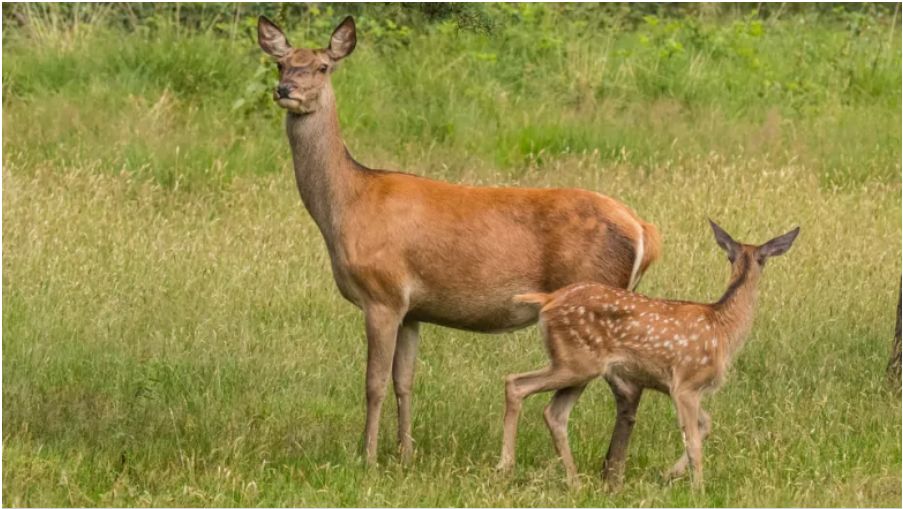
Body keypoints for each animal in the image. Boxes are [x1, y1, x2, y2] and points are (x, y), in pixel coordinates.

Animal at [258, 15, 660, 462]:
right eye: (281, 63)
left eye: (323, 66)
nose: (285, 90)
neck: (349, 204)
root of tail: (642, 229)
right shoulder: (412, 309)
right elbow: (404, 381)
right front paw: (405, 454)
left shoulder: (382, 294)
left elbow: (373, 383)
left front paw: (368, 457)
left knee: (627, 388)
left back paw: (610, 467)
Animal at [504, 221, 800, 488]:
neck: (723, 329)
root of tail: (548, 300)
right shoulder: (686, 383)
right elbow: (693, 439)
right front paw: (698, 488)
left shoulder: (675, 387)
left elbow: (706, 424)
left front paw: (669, 474)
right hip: (576, 362)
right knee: (515, 383)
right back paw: (506, 467)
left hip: (579, 365)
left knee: (554, 413)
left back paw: (574, 481)